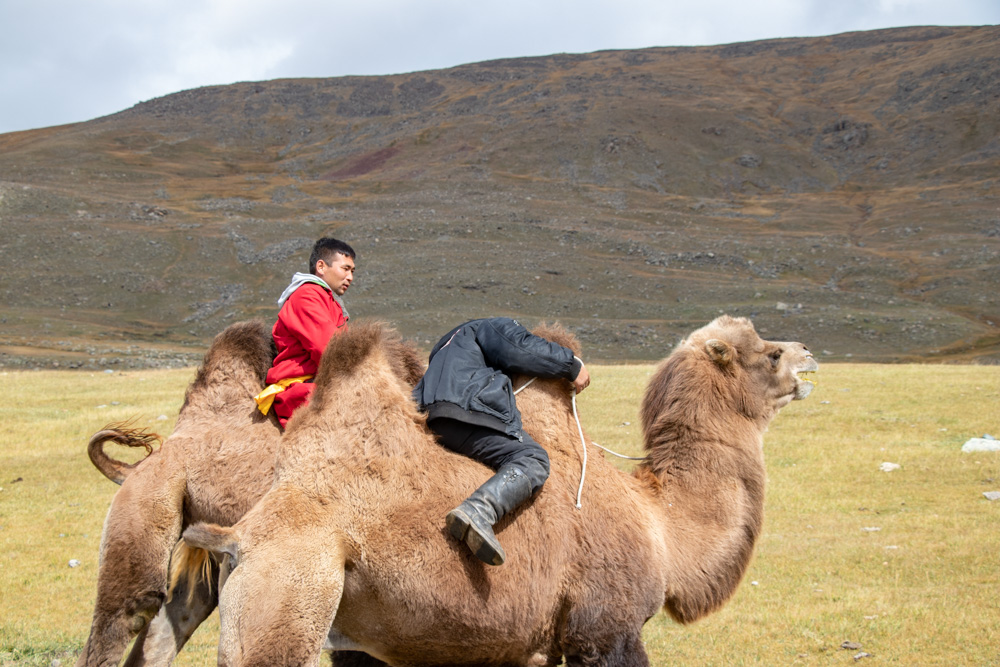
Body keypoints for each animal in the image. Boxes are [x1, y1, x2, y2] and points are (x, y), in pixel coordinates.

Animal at [183, 315, 818, 666]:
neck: (658, 521)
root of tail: (240, 534)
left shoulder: (525, 644)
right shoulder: (605, 630)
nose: (810, 354)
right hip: (288, 588)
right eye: (770, 354)